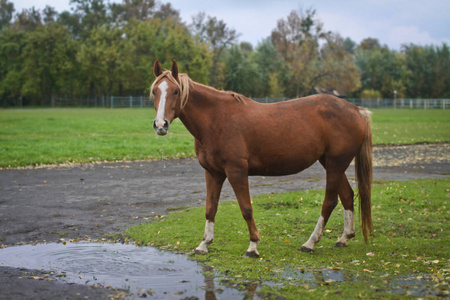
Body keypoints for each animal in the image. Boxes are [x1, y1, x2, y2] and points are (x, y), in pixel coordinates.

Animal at [151, 59, 372, 256]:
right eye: (155, 91)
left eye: (176, 91)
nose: (161, 125)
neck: (217, 119)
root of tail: (355, 110)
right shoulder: (213, 173)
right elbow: (210, 208)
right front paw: (204, 244)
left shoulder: (236, 171)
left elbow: (246, 208)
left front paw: (253, 246)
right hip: (330, 163)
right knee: (347, 195)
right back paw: (344, 237)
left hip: (336, 164)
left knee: (329, 201)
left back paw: (310, 243)